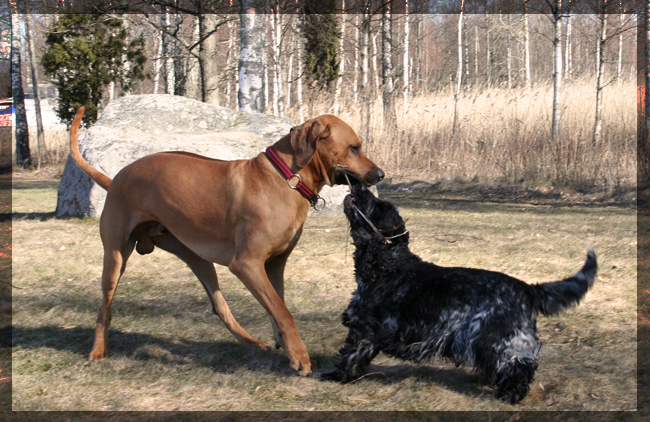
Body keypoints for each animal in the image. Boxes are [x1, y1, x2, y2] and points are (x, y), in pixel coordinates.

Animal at [68, 105, 382, 376]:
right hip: (115, 256)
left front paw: (286, 347)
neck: (286, 178)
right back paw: (97, 351)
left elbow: (277, 307)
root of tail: (114, 180)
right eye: (355, 147)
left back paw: (250, 342)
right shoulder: (247, 264)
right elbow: (283, 312)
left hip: (195, 255)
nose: (380, 174)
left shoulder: (274, 265)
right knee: (104, 308)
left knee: (219, 306)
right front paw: (300, 358)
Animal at [320, 184, 596, 402]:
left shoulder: (364, 326)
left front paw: (334, 375)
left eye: (378, 206)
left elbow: (351, 354)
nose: (358, 186)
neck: (388, 264)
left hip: (501, 337)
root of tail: (528, 289)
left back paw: (510, 394)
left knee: (520, 364)